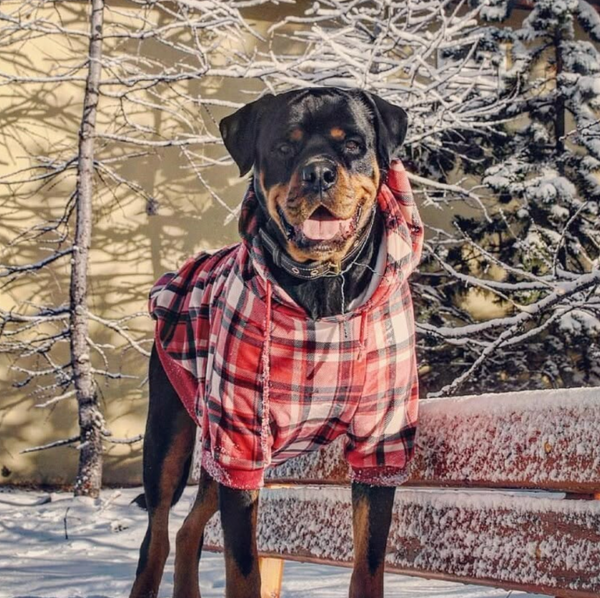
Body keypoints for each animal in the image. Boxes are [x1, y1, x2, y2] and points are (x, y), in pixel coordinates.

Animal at [131, 85, 422, 598]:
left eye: (352, 144)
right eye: (285, 146)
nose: (319, 172)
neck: (323, 291)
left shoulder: (382, 438)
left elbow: (369, 562)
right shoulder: (240, 438)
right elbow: (243, 565)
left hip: (215, 448)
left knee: (187, 530)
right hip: (171, 435)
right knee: (158, 537)